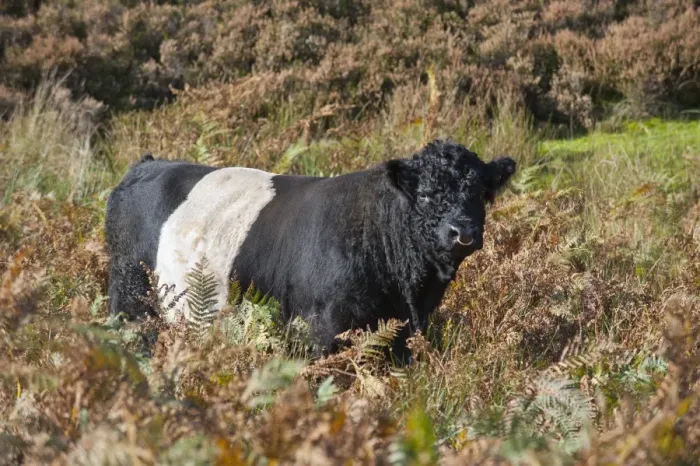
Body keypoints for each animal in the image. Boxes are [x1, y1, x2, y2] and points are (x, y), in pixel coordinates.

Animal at [104, 140, 516, 359]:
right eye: (427, 194)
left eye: (481, 193)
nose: (462, 232)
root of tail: (147, 164)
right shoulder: (323, 328)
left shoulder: (402, 334)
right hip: (131, 294)